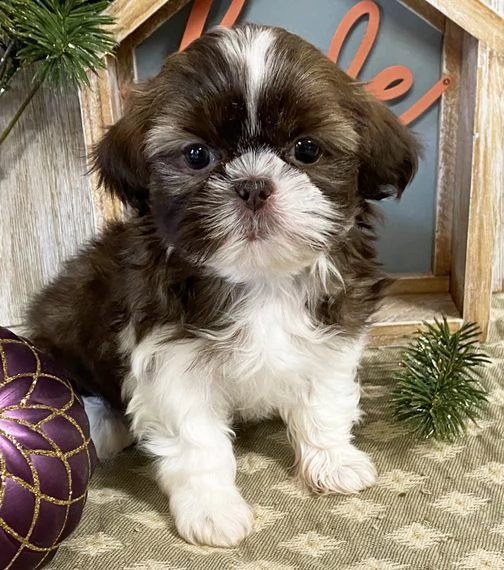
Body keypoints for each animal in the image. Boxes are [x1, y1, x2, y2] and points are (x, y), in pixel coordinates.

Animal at [29, 23, 420, 544]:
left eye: (307, 150)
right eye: (197, 155)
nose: (253, 185)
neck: (261, 279)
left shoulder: (335, 328)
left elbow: (325, 397)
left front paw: (332, 460)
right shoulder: (170, 357)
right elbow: (197, 442)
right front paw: (211, 509)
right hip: (71, 310)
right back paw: (105, 424)